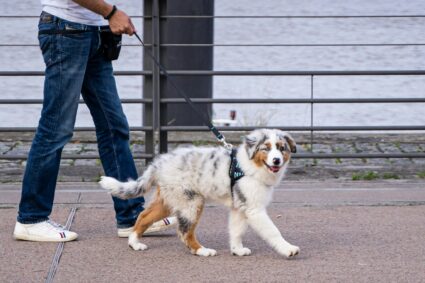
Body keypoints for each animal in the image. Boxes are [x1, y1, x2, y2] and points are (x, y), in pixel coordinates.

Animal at [99, 130, 298, 258]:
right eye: (266, 148)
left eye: (282, 148)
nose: (276, 160)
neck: (251, 165)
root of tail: (159, 163)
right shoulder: (254, 209)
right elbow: (273, 231)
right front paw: (288, 249)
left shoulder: (240, 207)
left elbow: (236, 231)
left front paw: (237, 250)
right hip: (191, 202)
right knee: (184, 232)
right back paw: (202, 250)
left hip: (169, 199)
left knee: (143, 216)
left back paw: (134, 243)